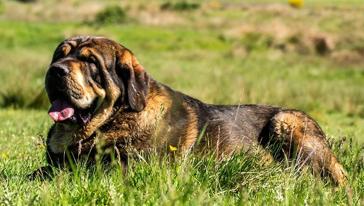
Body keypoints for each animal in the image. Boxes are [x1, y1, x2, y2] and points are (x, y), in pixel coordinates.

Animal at [31, 35, 346, 185]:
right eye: (60, 55)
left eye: (90, 62)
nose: (56, 70)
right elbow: (40, 171)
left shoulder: (121, 169)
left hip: (287, 121)